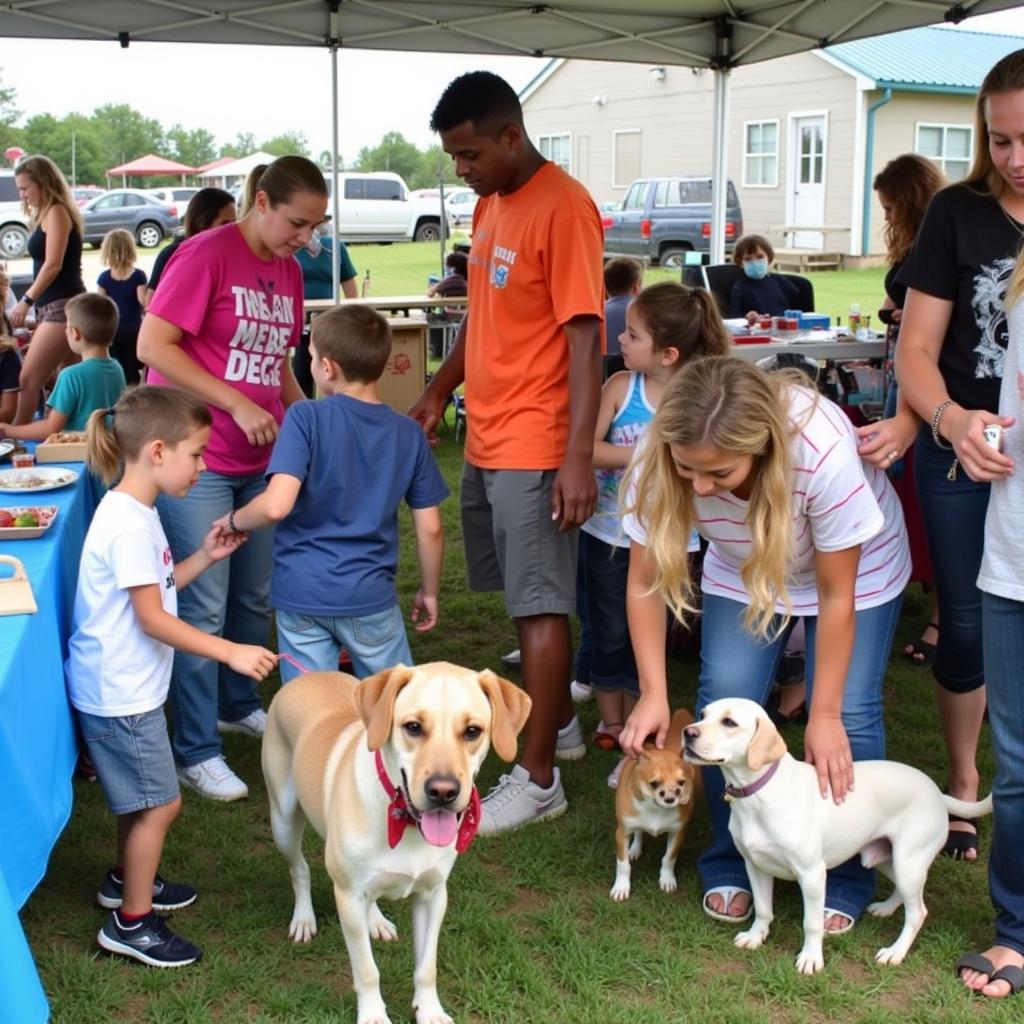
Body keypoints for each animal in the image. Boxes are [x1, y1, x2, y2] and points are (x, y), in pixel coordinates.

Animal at [260, 663, 532, 1024]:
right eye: (413, 727)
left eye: (473, 731)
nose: (443, 791)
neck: (404, 821)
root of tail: (307, 675)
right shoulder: (347, 896)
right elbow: (367, 970)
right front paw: (373, 1015)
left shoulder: (433, 895)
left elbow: (427, 967)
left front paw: (430, 1010)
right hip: (283, 820)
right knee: (299, 868)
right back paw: (304, 918)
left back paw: (375, 920)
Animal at [679, 696, 991, 974]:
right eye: (703, 714)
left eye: (729, 722)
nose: (687, 732)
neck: (759, 794)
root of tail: (938, 794)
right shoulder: (755, 865)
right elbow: (764, 909)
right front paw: (756, 936)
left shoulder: (812, 874)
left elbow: (812, 923)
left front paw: (811, 959)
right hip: (886, 860)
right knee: (907, 897)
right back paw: (886, 909)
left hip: (907, 863)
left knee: (918, 913)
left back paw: (895, 953)